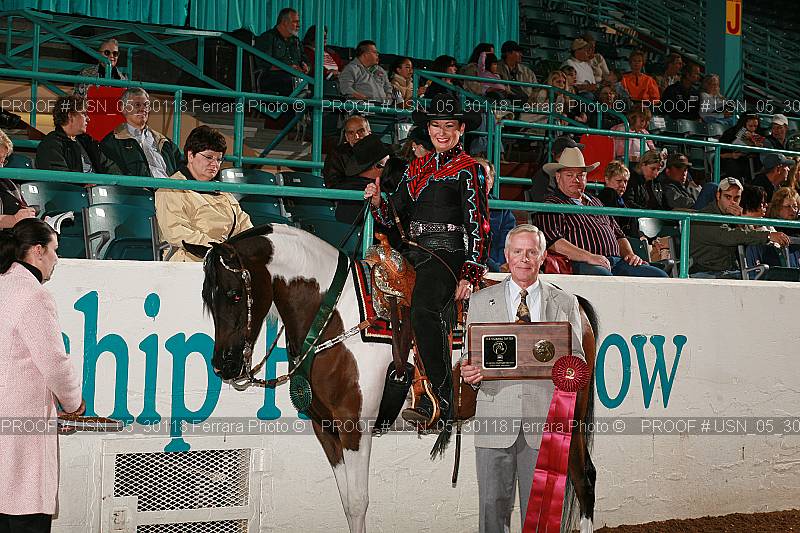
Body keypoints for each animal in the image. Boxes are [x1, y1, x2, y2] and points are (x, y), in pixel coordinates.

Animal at [184, 223, 598, 533]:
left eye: (234, 294)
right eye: (205, 295)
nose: (224, 365)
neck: (335, 314)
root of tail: (575, 303)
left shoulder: (355, 427)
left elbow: (358, 501)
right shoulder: (325, 428)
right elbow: (346, 502)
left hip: (569, 416)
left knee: (584, 477)